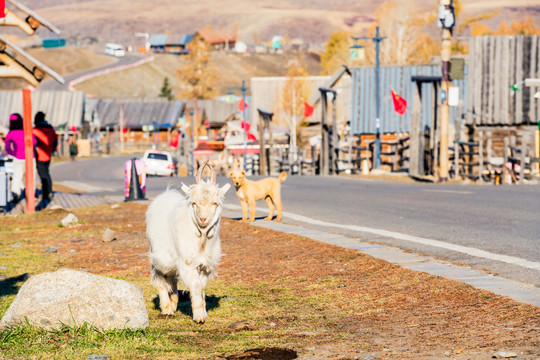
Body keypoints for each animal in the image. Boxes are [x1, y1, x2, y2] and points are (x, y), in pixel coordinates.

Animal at [147, 162, 231, 322]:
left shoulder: (205, 265)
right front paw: (199, 317)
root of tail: (166, 194)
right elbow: (196, 285)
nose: (203, 219)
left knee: (173, 277)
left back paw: (174, 302)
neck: (201, 240)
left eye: (215, 203)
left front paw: (202, 311)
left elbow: (202, 287)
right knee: (161, 279)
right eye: (194, 203)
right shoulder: (187, 263)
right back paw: (167, 309)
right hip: (157, 255)